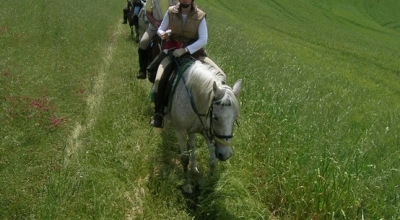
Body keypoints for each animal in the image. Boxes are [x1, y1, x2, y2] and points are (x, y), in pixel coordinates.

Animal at [164, 59, 242, 192]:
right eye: (215, 117)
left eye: (235, 117)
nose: (225, 155)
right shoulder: (180, 131)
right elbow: (184, 159)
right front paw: (187, 185)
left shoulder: (207, 132)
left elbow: (213, 161)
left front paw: (209, 184)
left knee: (192, 144)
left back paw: (195, 169)